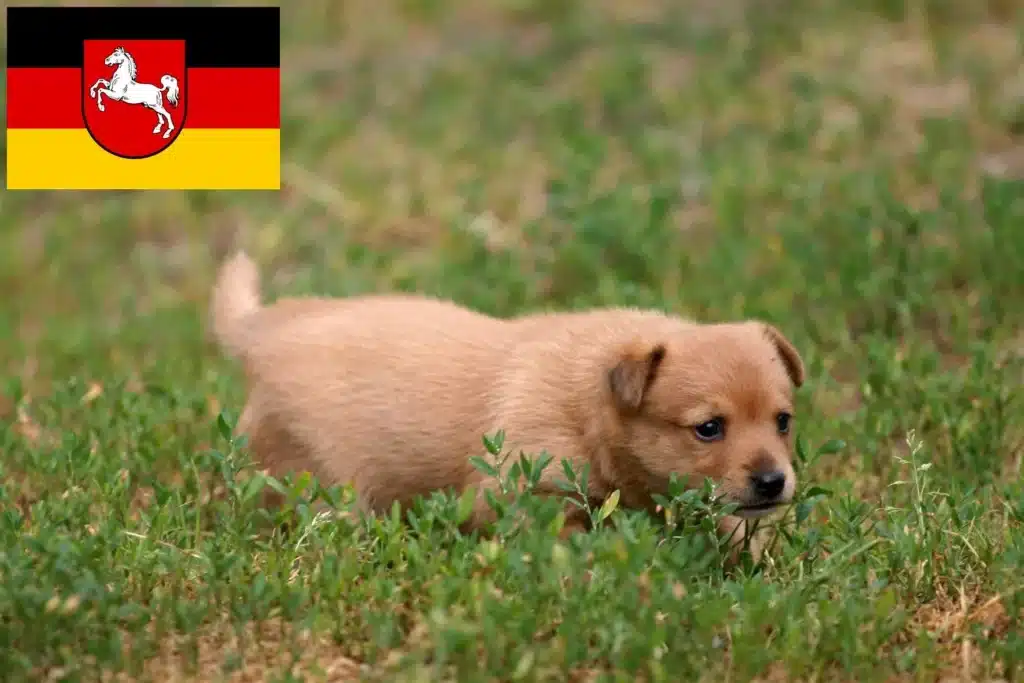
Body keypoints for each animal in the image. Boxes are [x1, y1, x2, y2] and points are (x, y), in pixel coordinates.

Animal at [211, 250, 802, 557]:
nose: (773, 482)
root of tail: (263, 332)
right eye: (708, 428)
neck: (586, 404)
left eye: (783, 421)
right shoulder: (519, 494)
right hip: (319, 483)